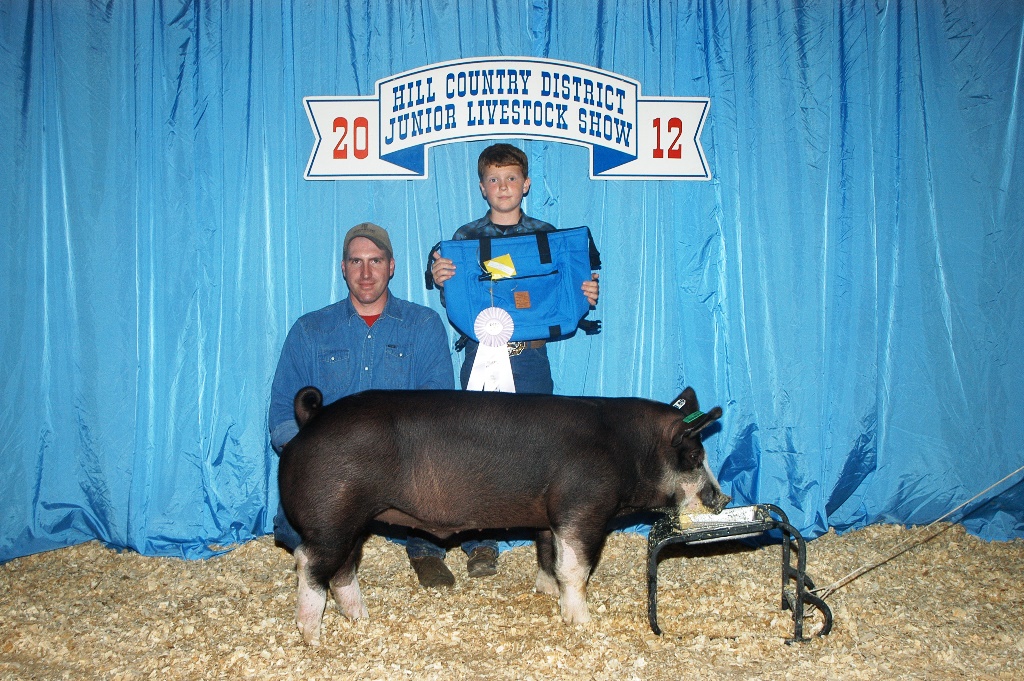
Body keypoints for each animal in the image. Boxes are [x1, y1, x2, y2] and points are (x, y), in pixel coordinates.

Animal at [278, 385, 729, 647]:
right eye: (693, 456)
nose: (721, 499)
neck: (630, 450)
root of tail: (312, 419)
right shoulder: (584, 507)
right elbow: (576, 568)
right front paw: (581, 623)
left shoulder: (550, 516)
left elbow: (548, 555)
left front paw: (546, 594)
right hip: (331, 514)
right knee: (308, 562)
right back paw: (313, 638)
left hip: (352, 521)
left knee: (343, 568)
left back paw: (360, 619)